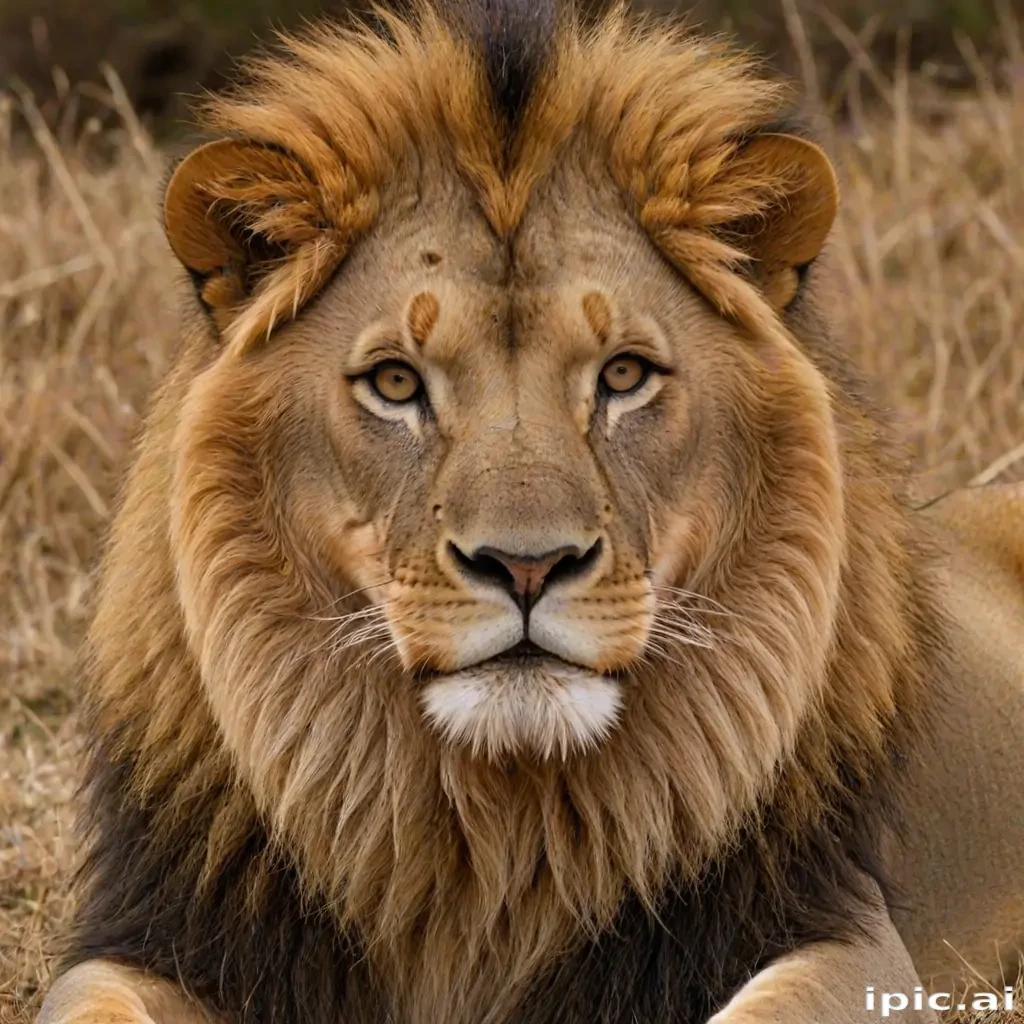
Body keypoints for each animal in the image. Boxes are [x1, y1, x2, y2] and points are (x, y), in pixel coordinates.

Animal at [38, 2, 1024, 1022]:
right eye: (396, 383)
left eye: (623, 374)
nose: (525, 566)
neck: (497, 825)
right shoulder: (154, 937)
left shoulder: (843, 932)